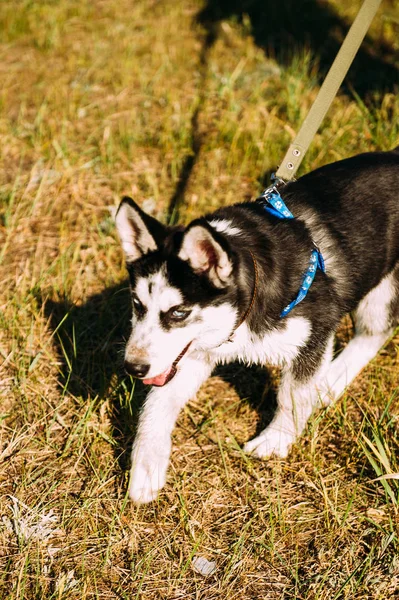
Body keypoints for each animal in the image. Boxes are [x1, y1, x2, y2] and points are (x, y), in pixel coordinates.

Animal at [115, 148, 399, 504]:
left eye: (179, 313)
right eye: (137, 305)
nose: (133, 367)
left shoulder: (315, 333)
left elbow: (292, 396)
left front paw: (275, 441)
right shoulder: (195, 353)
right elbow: (156, 405)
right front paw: (146, 466)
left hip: (380, 290)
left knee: (376, 330)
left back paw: (329, 382)